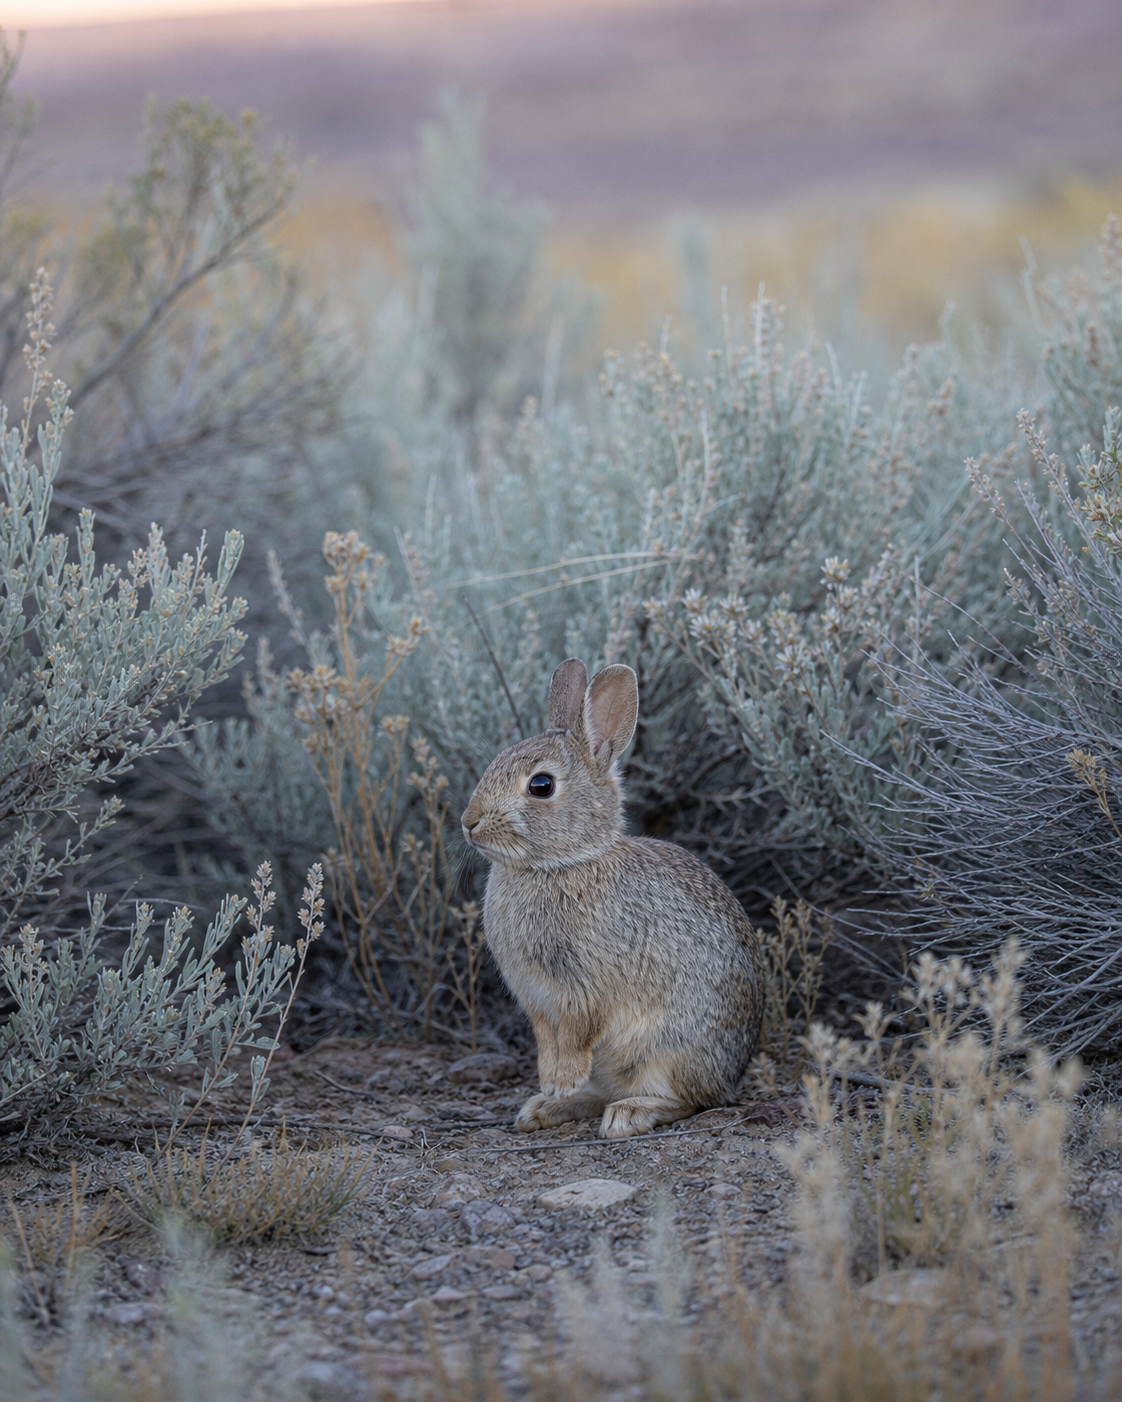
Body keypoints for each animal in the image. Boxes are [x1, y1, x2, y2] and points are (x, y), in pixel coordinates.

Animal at [461, 658, 764, 1139]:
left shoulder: (590, 991)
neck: (561, 864)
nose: (468, 822)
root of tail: (730, 1078)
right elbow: (546, 1039)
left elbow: (578, 1034)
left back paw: (627, 1114)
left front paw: (563, 1080)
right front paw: (550, 1082)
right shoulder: (537, 1000)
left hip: (666, 1052)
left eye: (541, 785)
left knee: (687, 1101)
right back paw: (544, 1108)